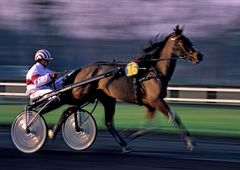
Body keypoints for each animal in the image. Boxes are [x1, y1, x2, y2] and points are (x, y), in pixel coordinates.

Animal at [52, 24, 202, 151]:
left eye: (189, 40)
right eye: (182, 42)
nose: (199, 55)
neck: (154, 71)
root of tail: (83, 69)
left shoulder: (151, 104)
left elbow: (152, 126)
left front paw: (130, 133)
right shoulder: (156, 100)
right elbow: (174, 117)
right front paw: (190, 141)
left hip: (107, 99)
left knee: (108, 122)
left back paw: (123, 144)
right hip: (82, 96)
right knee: (67, 112)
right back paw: (53, 132)